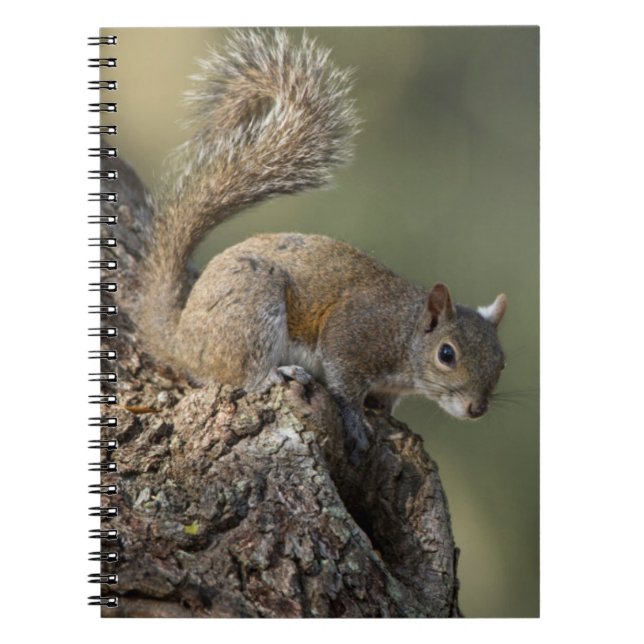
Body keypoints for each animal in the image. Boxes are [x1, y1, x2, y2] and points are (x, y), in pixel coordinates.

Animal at [137, 29, 507, 462]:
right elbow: (345, 385)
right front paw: (356, 422)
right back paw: (274, 373)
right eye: (447, 354)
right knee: (242, 372)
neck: (405, 332)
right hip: (252, 308)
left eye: (502, 362)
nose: (477, 408)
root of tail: (181, 339)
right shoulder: (352, 334)